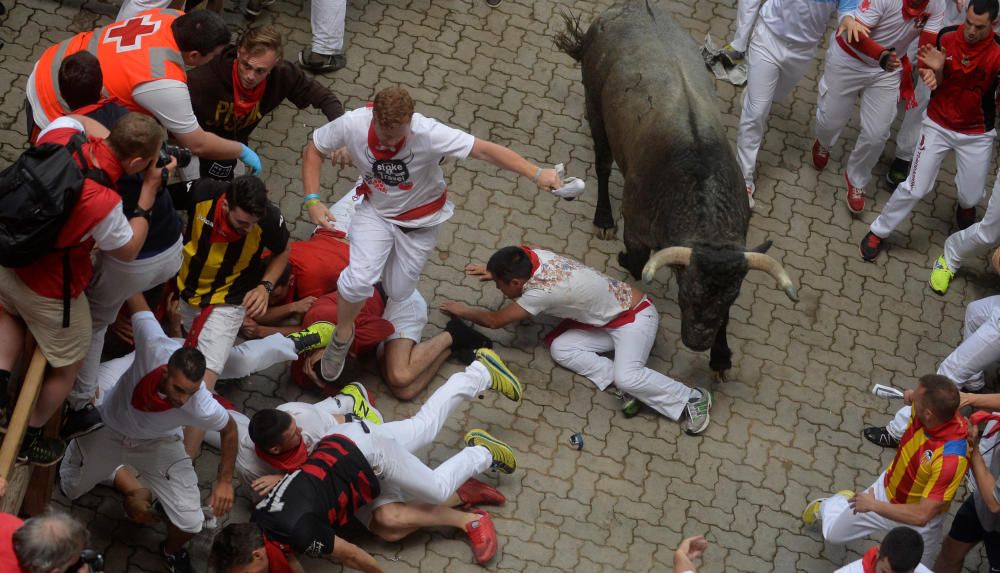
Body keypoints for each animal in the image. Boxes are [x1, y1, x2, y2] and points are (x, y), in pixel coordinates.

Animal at [556, 0, 796, 380]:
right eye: (687, 292)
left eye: (730, 298)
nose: (698, 341)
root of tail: (629, 9)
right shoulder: (636, 227)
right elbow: (638, 261)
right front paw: (622, 257)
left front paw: (720, 357)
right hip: (595, 106)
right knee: (603, 163)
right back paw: (603, 219)